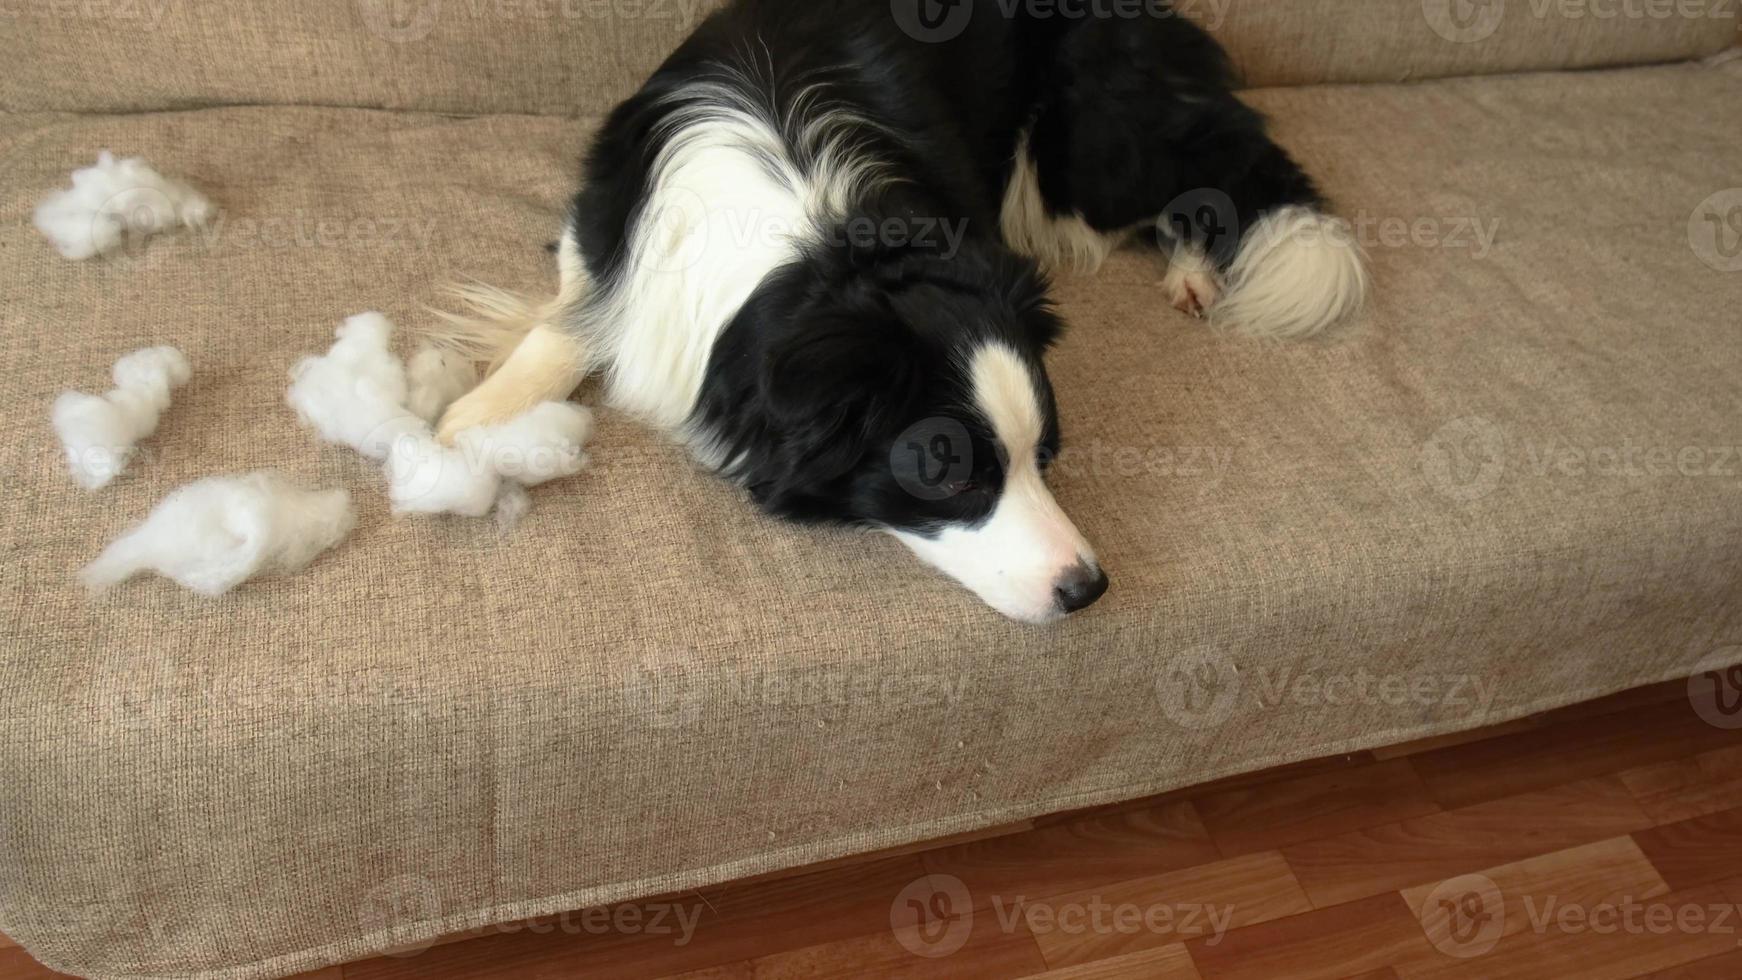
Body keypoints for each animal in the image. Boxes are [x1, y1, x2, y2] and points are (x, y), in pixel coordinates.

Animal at [432, 0, 1358, 626]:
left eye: (1046, 454)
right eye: (948, 473)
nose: (1089, 589)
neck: (822, 247)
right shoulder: (606, 227)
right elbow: (565, 323)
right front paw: (472, 422)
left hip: (1087, 151)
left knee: (1207, 171)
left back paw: (1198, 270)